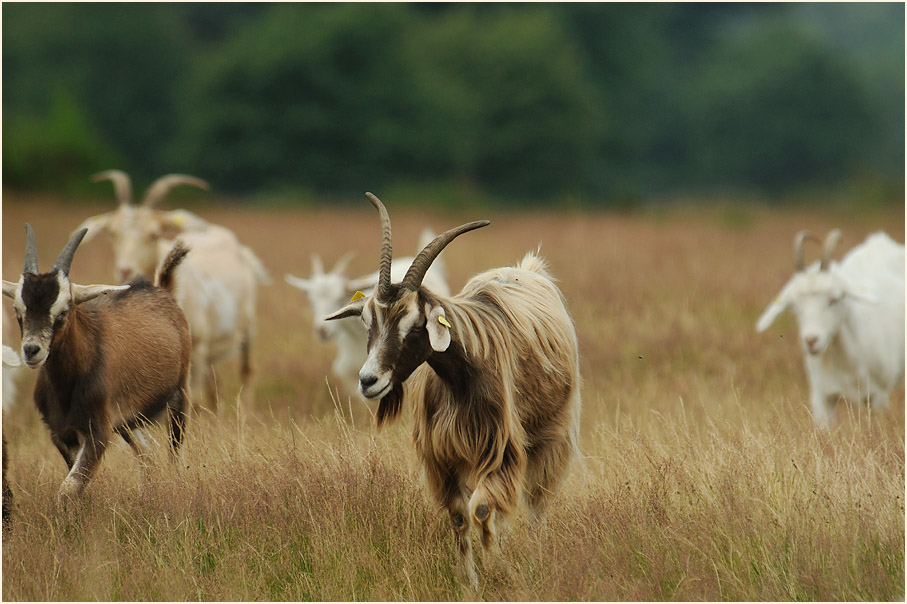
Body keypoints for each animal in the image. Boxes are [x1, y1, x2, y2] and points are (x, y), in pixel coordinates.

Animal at [3, 223, 192, 504]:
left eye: (64, 309)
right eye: (18, 310)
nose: (31, 350)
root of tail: (163, 291)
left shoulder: (98, 433)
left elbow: (68, 489)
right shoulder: (61, 433)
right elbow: (73, 485)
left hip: (178, 397)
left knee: (173, 454)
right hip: (126, 421)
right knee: (148, 450)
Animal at [76, 172, 270, 412]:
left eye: (154, 234)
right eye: (113, 234)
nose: (125, 269)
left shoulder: (197, 350)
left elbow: (193, 402)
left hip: (246, 330)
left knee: (247, 371)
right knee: (214, 389)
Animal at [326, 195, 580, 588]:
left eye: (415, 325)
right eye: (369, 321)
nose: (368, 380)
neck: (462, 379)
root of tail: (529, 269)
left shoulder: (502, 449)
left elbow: (482, 509)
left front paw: (503, 572)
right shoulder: (444, 456)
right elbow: (461, 517)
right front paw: (470, 584)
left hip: (551, 437)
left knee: (537, 504)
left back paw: (536, 558)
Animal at [756, 229, 904, 428]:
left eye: (834, 298)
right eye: (794, 306)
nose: (811, 340)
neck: (847, 362)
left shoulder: (880, 394)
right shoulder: (821, 397)